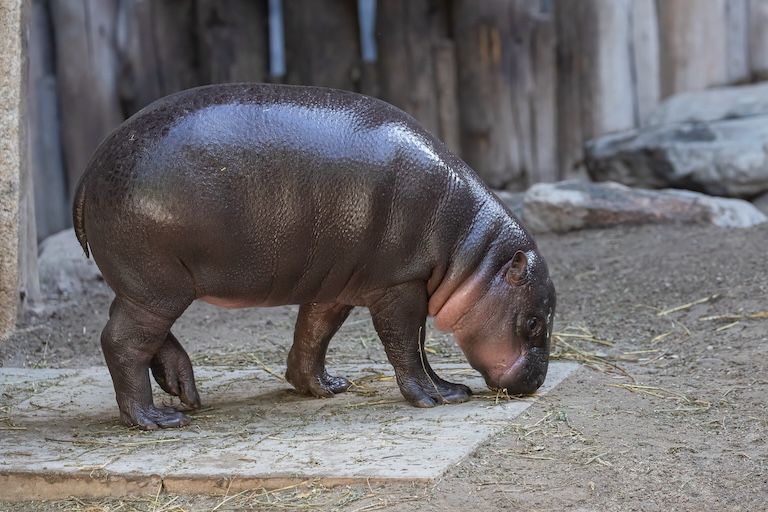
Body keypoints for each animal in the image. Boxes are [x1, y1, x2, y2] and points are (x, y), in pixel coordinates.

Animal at [73, 83, 556, 430]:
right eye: (534, 322)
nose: (536, 383)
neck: (473, 250)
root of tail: (89, 169)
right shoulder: (401, 284)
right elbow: (408, 345)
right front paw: (437, 397)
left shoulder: (336, 283)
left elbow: (314, 333)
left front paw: (325, 387)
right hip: (158, 283)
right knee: (121, 342)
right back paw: (156, 419)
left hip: (147, 283)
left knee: (136, 329)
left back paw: (184, 390)